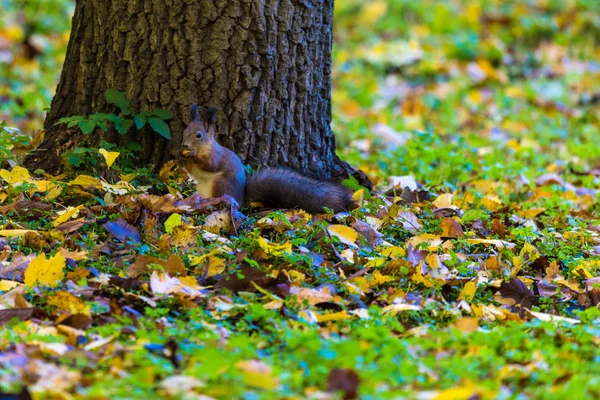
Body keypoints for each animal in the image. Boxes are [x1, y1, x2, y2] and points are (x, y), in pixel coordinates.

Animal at [176, 104, 354, 214]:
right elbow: (191, 170)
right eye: (184, 131)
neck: (203, 147)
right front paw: (180, 157)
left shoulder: (216, 155)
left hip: (221, 184)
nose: (184, 145)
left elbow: (210, 165)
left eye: (199, 135)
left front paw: (192, 156)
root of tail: (242, 198)